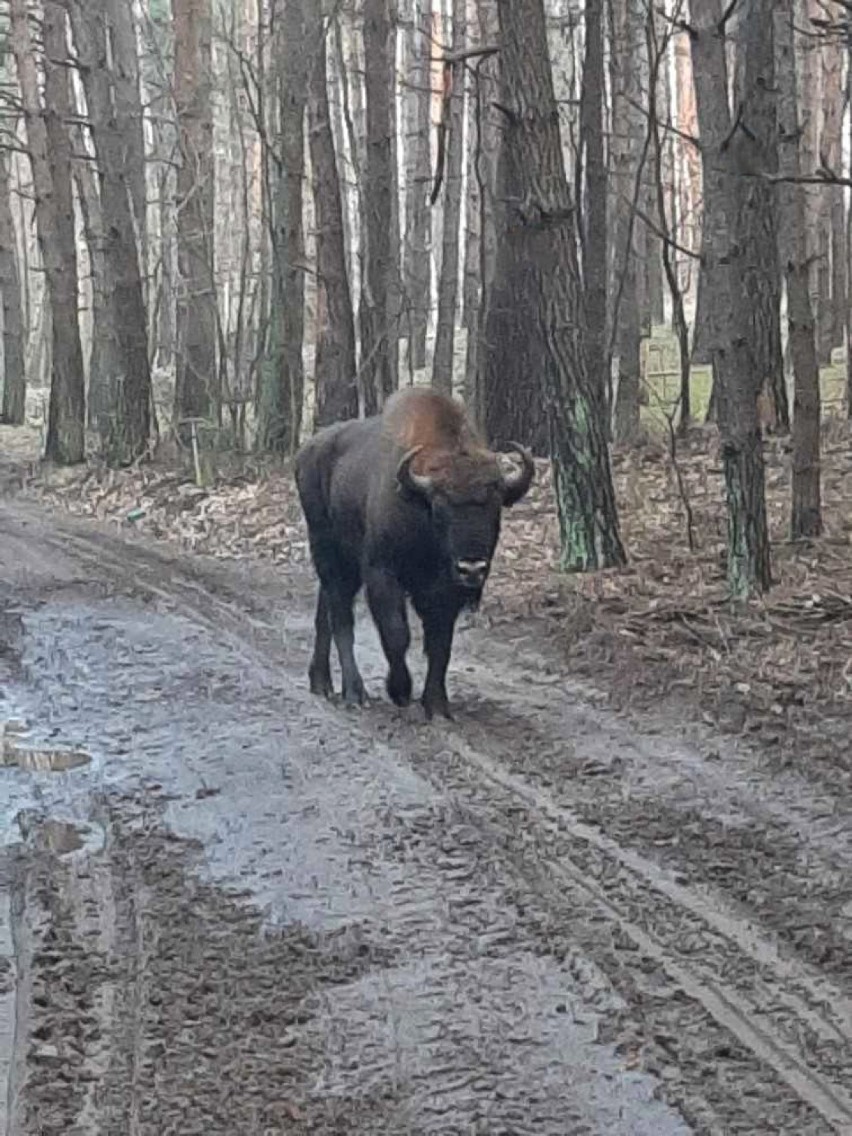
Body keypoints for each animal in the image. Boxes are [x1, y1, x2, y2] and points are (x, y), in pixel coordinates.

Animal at [295, 386, 533, 713]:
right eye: (440, 508)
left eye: (495, 509)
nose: (472, 568)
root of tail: (306, 451)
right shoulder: (382, 573)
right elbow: (397, 633)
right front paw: (400, 691)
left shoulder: (445, 590)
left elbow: (440, 643)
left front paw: (437, 704)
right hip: (327, 551)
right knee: (341, 617)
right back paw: (355, 693)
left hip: (343, 563)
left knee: (326, 611)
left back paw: (321, 682)